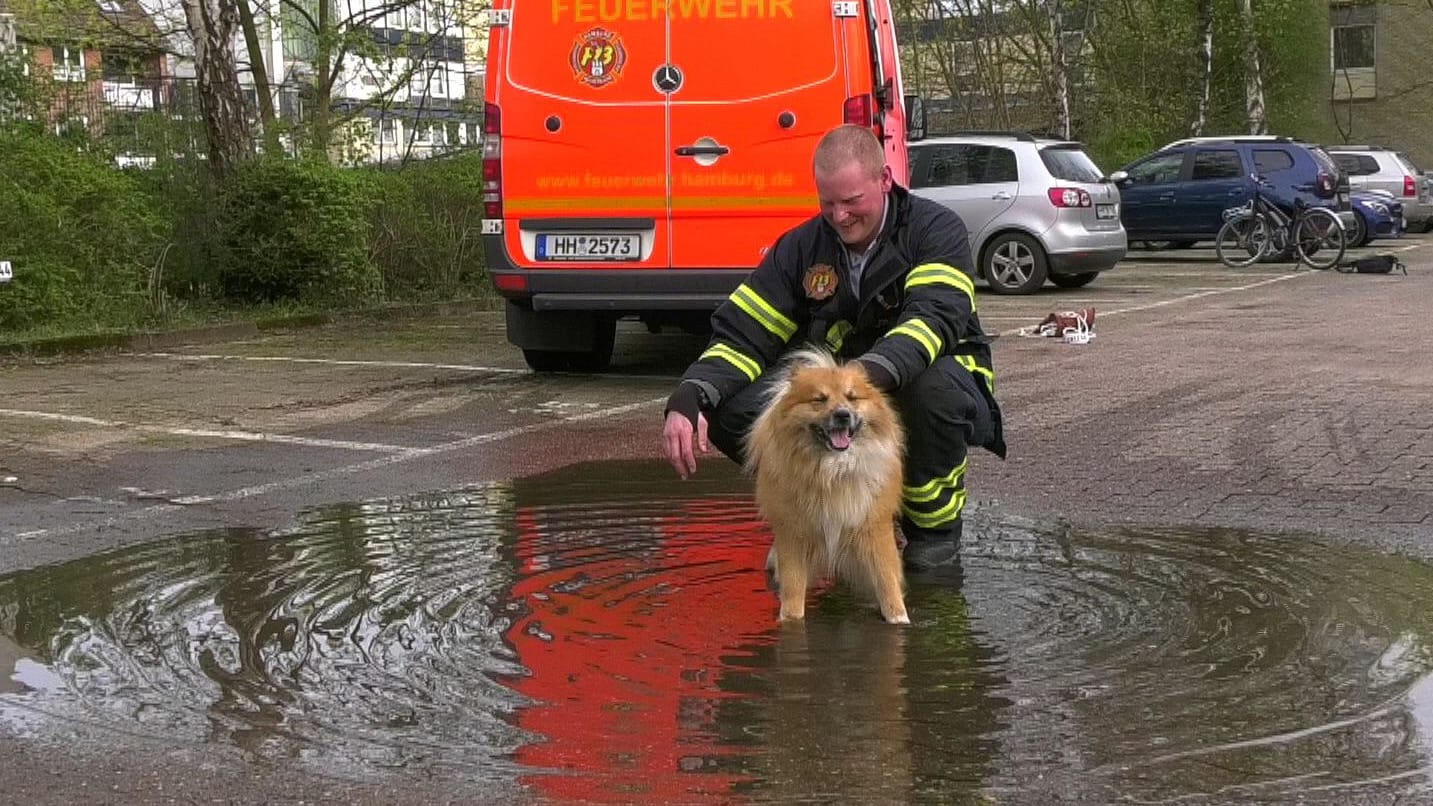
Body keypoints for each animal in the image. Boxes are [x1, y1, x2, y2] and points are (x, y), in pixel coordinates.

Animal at [750, 347, 905, 622]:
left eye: (852, 397)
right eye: (819, 399)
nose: (842, 414)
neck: (833, 472)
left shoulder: (874, 528)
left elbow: (888, 585)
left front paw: (899, 617)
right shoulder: (794, 537)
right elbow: (793, 596)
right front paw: (790, 620)